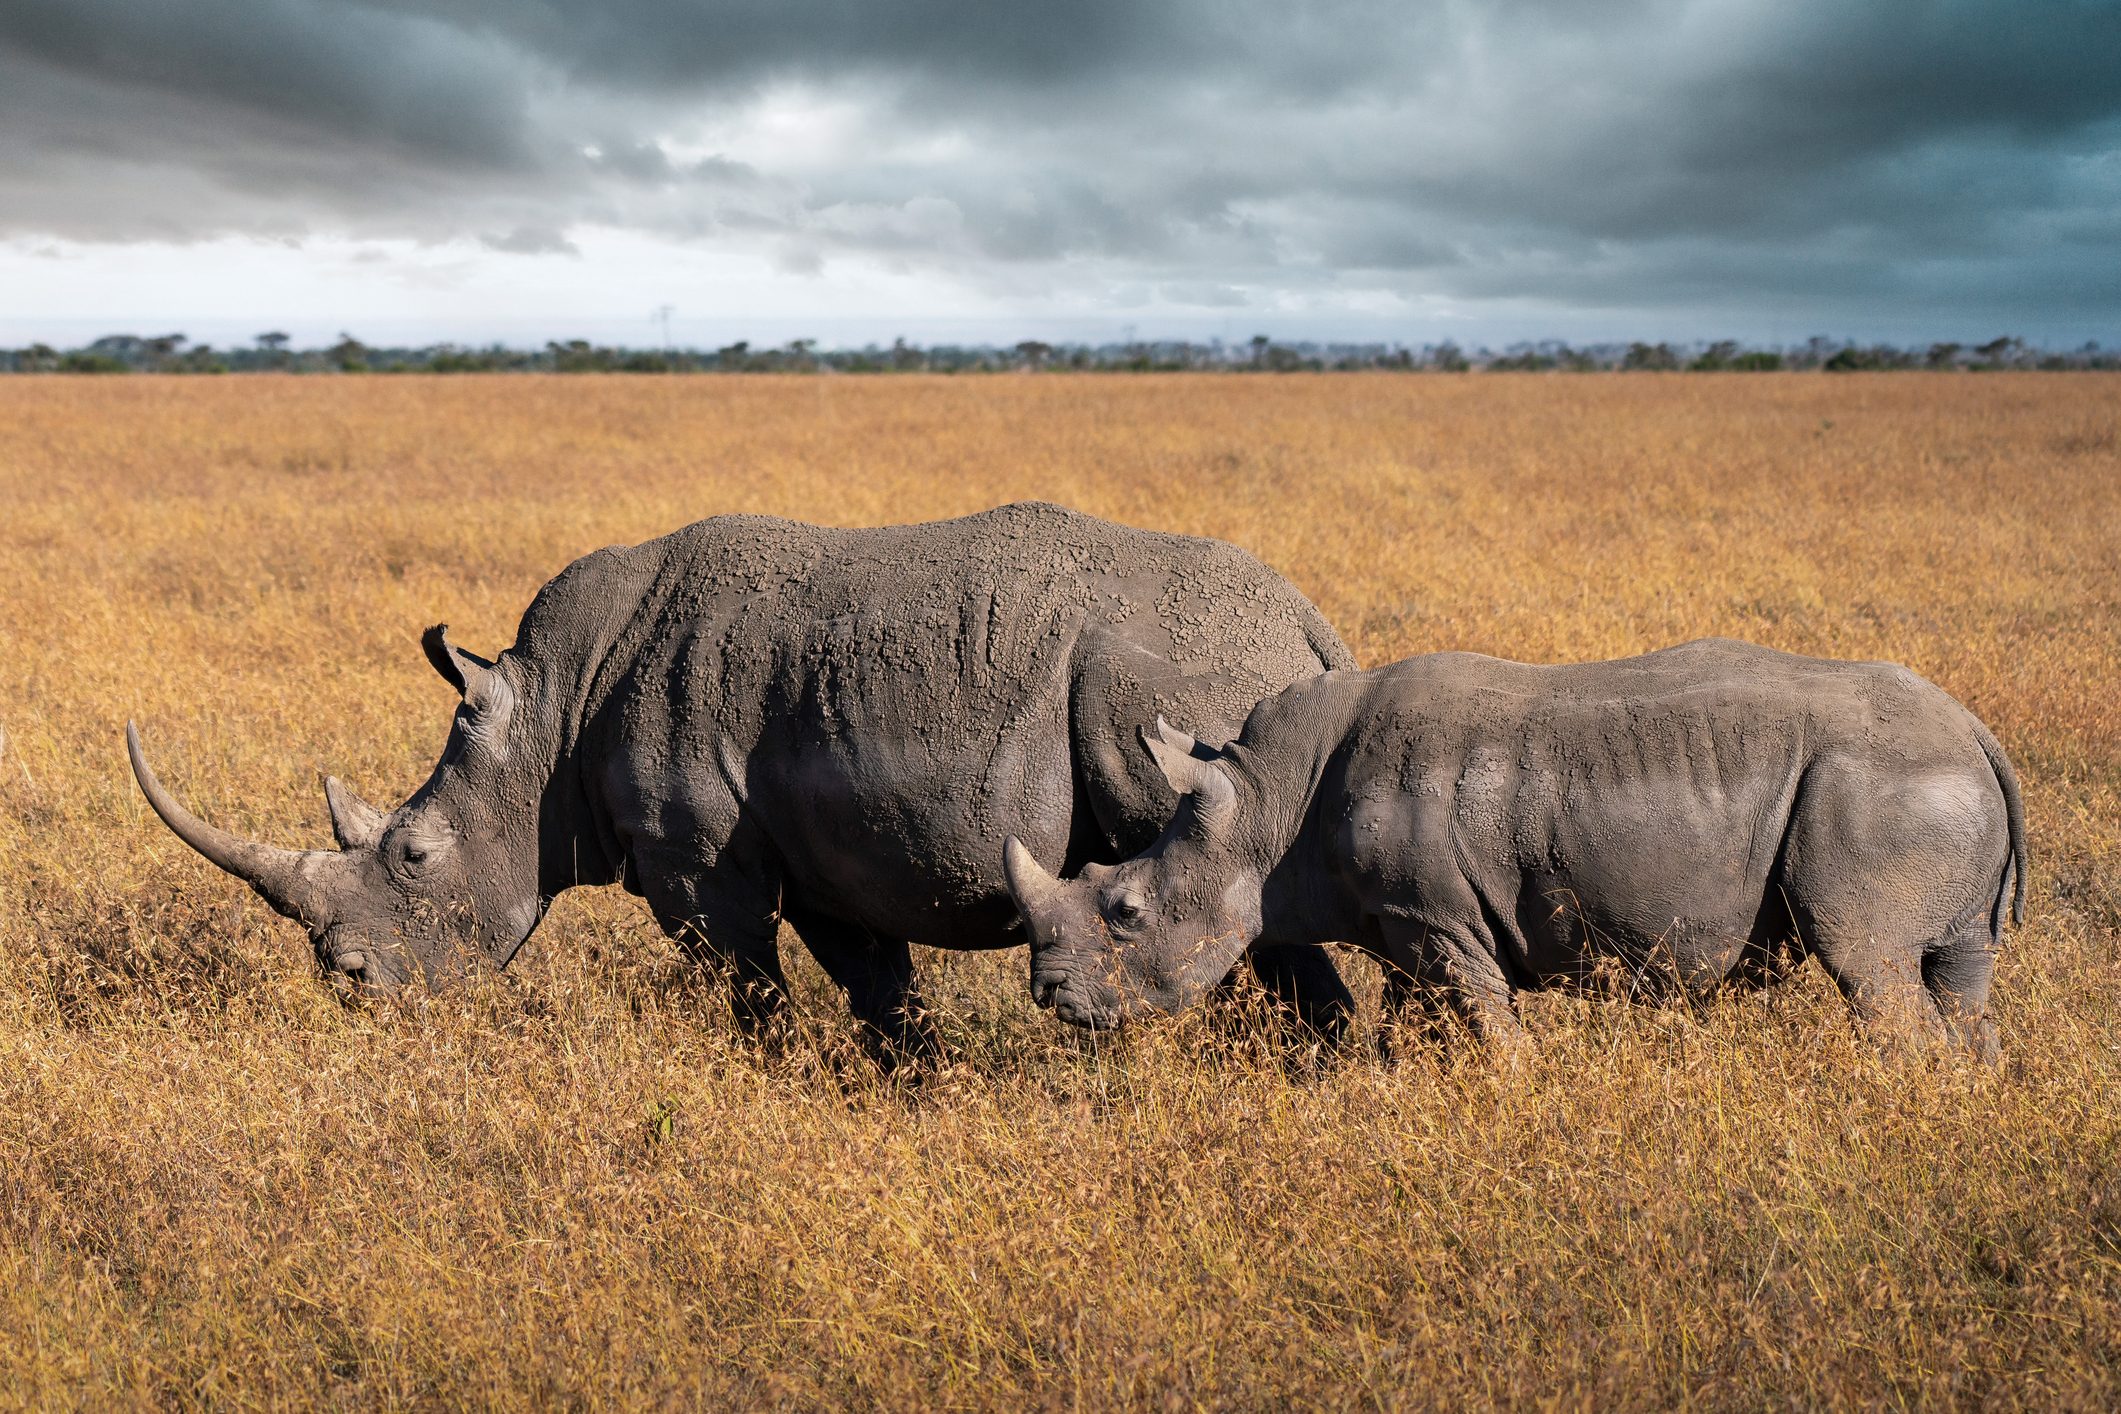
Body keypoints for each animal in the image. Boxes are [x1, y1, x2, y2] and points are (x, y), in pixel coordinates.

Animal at [127, 501, 1357, 1058]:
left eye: (415, 855)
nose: (352, 985)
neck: (548, 716)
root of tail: (1305, 620)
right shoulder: (833, 857)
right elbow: (879, 992)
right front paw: (914, 1091)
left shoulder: (698, 864)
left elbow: (746, 988)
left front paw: (772, 1075)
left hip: (1175, 678)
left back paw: (1319, 1080)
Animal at [1003, 638, 2027, 1060]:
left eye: (1126, 912)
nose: (1050, 997)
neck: (1262, 808)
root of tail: (1975, 729)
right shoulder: (1409, 920)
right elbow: (1409, 1026)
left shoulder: (1437, 917)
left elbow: (1487, 1027)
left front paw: (1508, 1094)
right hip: (1928, 788)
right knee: (1956, 974)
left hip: (1879, 789)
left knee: (1868, 965)